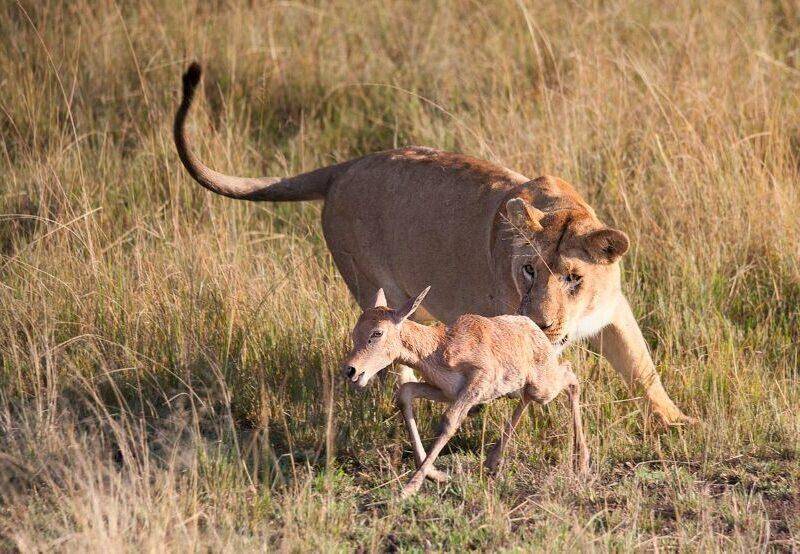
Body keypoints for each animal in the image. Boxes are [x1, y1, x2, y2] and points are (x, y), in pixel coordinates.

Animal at [173, 63, 694, 426]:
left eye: (573, 277)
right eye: (528, 269)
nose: (542, 323)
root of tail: (346, 166)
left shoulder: (615, 312)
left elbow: (643, 368)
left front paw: (677, 422)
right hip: (371, 283)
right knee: (384, 336)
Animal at [341, 286, 590, 498]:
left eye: (377, 333)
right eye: (355, 331)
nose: (350, 370)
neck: (439, 346)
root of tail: (532, 328)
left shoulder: (476, 383)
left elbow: (449, 420)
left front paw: (408, 490)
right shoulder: (446, 392)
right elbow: (405, 392)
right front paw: (438, 476)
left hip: (544, 387)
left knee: (570, 376)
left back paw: (581, 462)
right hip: (524, 388)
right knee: (529, 397)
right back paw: (492, 461)